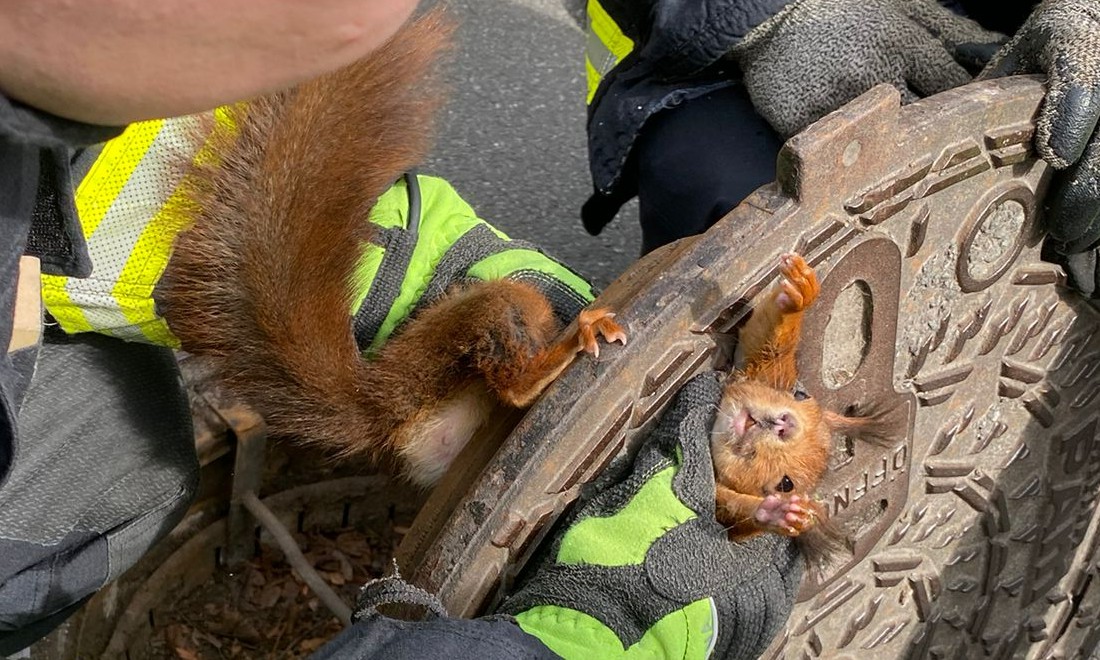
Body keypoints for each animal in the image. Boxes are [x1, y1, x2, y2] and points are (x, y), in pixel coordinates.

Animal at [712, 253, 891, 553]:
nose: (785, 425)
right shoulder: (759, 370)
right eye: (799, 395)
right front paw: (800, 293)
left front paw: (777, 514)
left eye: (786, 485)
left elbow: (727, 512)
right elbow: (761, 341)